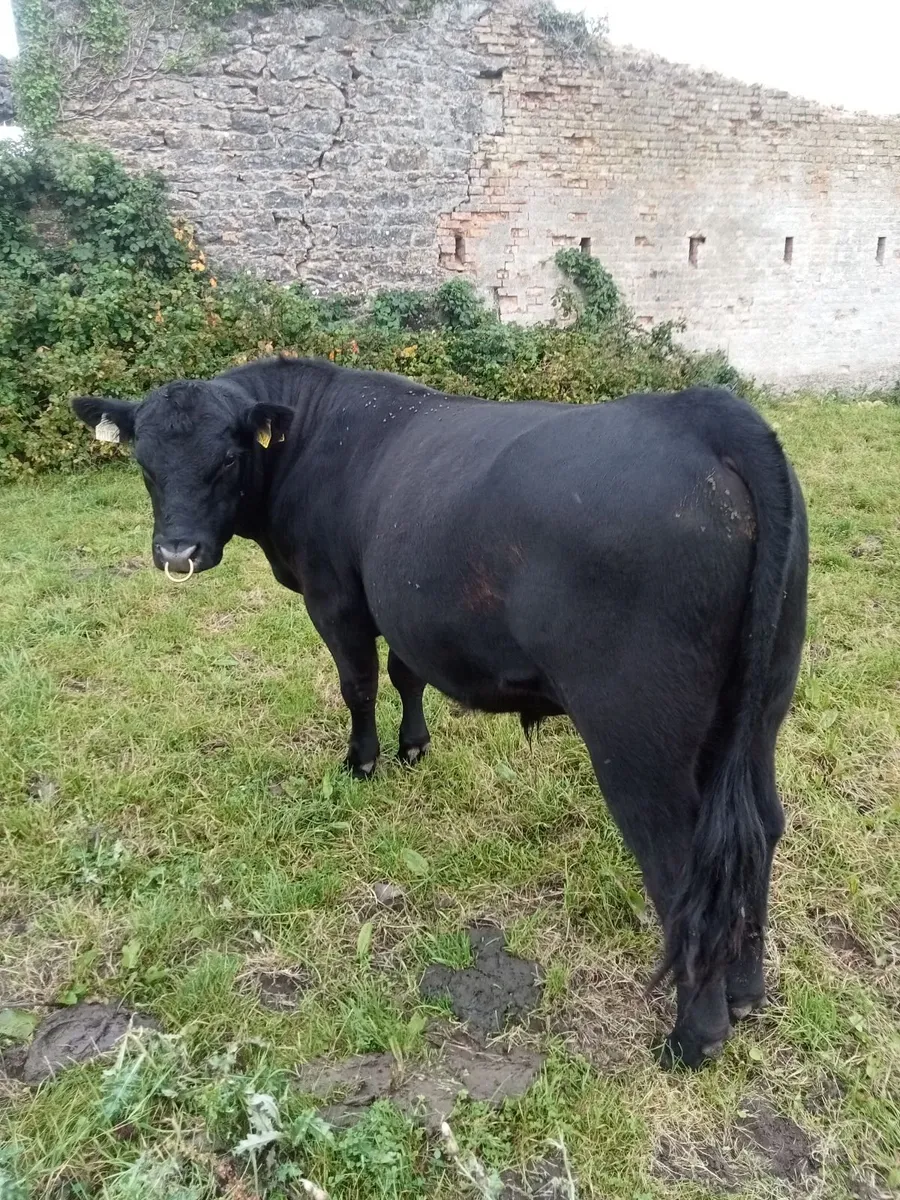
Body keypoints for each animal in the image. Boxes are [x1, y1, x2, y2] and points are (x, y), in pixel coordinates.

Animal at [73, 356, 808, 1069]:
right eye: (144, 463)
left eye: (227, 457)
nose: (177, 553)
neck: (312, 435)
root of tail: (704, 413)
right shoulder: (404, 606)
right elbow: (406, 675)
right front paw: (413, 746)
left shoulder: (336, 596)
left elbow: (358, 682)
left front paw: (361, 762)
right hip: (759, 707)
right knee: (758, 828)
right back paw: (746, 990)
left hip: (636, 734)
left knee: (682, 864)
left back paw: (693, 1039)